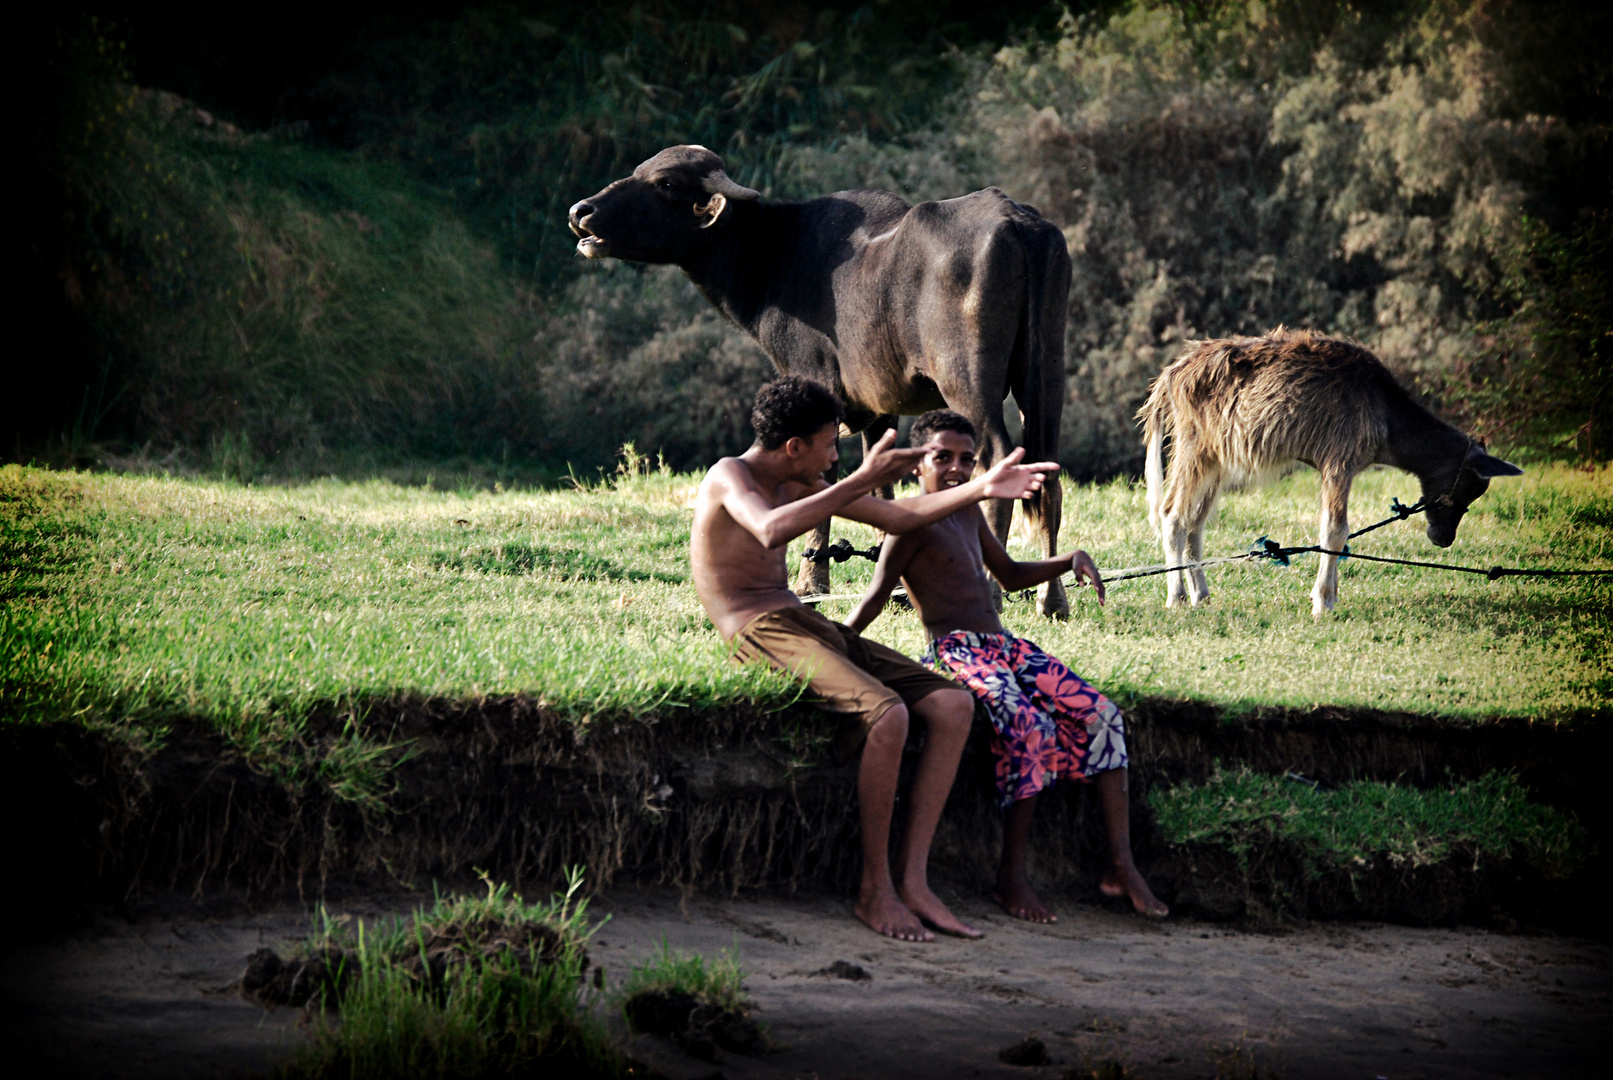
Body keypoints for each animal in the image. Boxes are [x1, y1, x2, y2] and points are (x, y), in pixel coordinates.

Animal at [567, 145, 1071, 618]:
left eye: (667, 183)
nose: (580, 212)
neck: (776, 257)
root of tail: (1016, 221)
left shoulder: (816, 384)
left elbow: (821, 483)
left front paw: (812, 584)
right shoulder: (880, 410)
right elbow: (879, 485)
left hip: (965, 377)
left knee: (998, 459)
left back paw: (992, 588)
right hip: (1046, 375)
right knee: (1047, 469)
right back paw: (1052, 598)